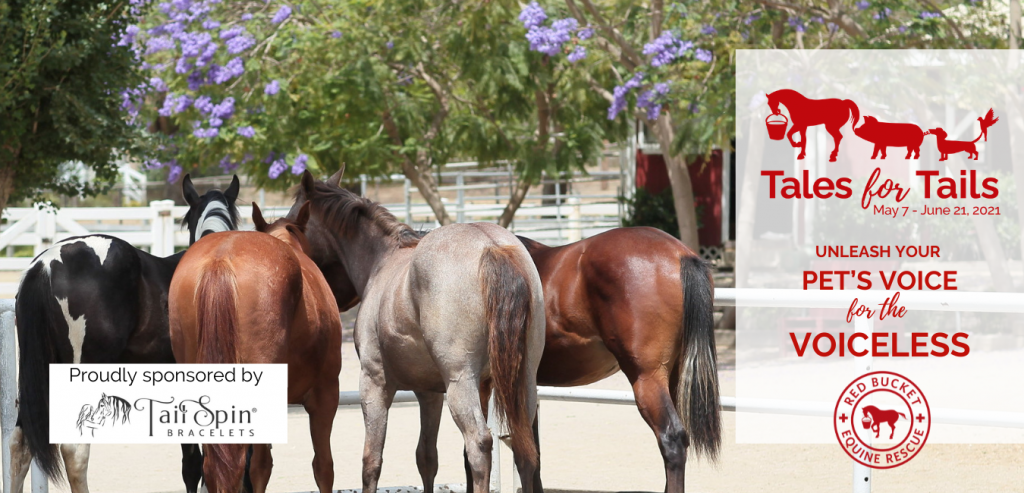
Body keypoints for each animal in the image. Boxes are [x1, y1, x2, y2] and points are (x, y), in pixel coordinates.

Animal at [284, 167, 548, 489]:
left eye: (295, 220)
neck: (382, 260)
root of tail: (491, 246)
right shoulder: (429, 392)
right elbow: (426, 459)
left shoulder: (374, 383)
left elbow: (371, 461)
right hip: (523, 380)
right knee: (524, 450)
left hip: (461, 383)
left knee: (479, 443)